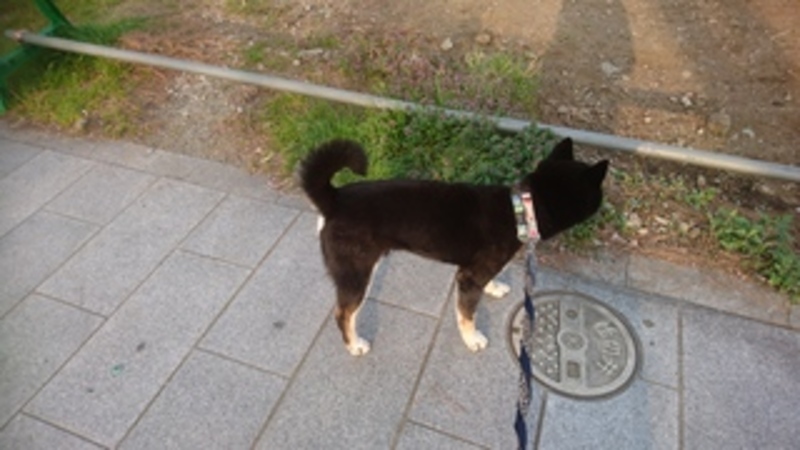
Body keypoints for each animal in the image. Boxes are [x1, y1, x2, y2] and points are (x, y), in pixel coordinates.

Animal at [300, 137, 608, 356]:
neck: (521, 209)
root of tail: (334, 199)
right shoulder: (469, 278)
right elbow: (467, 314)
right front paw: (472, 340)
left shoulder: (477, 270)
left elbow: (489, 282)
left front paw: (494, 287)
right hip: (357, 274)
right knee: (343, 314)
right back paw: (354, 345)